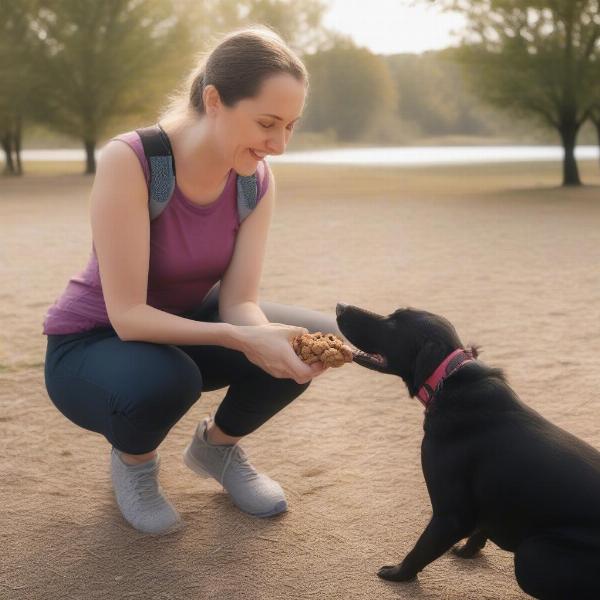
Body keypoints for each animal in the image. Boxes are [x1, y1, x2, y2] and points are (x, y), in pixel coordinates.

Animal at [338, 304, 600, 600]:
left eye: (394, 323)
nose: (339, 307)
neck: (449, 378)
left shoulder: (450, 515)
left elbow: (422, 548)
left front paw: (398, 574)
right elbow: (480, 527)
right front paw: (468, 550)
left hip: (532, 555)